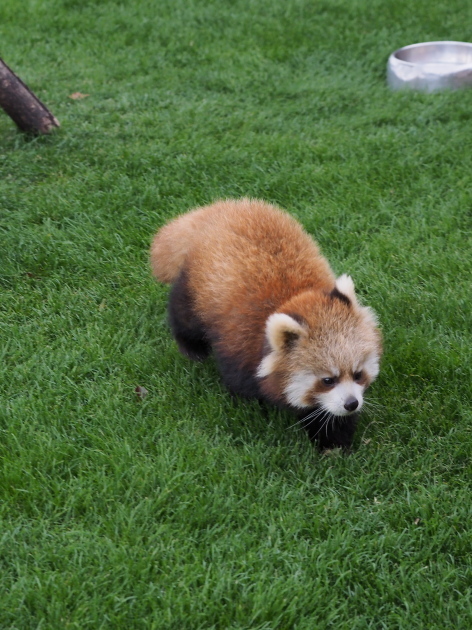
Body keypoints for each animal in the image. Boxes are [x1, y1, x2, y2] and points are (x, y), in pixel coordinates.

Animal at [151, 198, 384, 450]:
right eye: (327, 380)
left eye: (358, 374)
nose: (352, 403)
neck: (294, 299)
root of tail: (219, 209)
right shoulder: (239, 346)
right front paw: (249, 408)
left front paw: (333, 442)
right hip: (197, 287)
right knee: (184, 314)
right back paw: (192, 349)